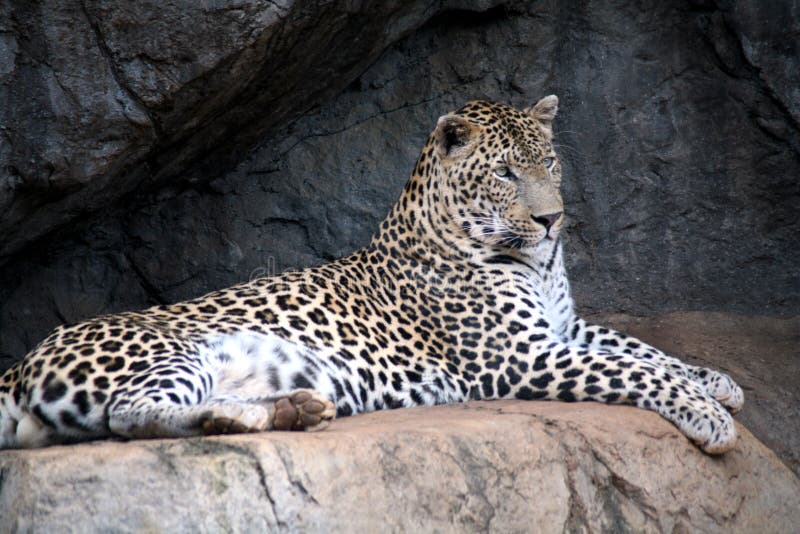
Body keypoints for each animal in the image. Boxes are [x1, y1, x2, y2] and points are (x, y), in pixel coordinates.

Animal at [0, 95, 744, 452]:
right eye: (506, 173)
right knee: (129, 415)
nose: (553, 220)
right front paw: (707, 414)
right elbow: (632, 370)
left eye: (551, 164)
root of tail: (17, 366)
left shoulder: (565, 328)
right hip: (172, 349)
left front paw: (717, 381)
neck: (536, 264)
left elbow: (641, 348)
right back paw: (249, 417)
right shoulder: (519, 358)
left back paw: (289, 409)